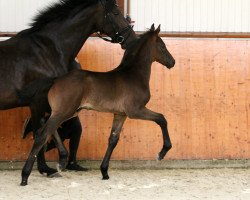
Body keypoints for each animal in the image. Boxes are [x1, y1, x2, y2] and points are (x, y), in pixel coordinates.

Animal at [0, 0, 135, 184]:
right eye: (116, 13)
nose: (132, 39)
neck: (47, 50)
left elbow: (46, 130)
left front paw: (49, 167)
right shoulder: (37, 101)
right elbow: (40, 132)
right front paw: (48, 167)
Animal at [23, 25, 175, 184]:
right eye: (162, 46)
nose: (172, 62)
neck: (133, 75)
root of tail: (55, 80)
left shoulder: (120, 114)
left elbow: (113, 140)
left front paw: (104, 172)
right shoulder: (135, 110)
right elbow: (161, 119)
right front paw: (162, 153)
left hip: (67, 112)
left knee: (48, 129)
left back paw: (62, 160)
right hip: (64, 111)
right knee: (43, 133)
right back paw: (25, 176)